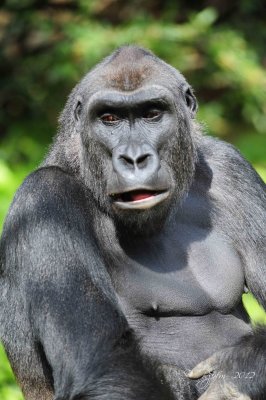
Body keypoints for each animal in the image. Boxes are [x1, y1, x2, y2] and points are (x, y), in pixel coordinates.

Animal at [0, 45, 266, 398]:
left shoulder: (231, 168)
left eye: (151, 113)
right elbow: (108, 361)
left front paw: (240, 365)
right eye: (109, 118)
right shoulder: (44, 199)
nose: (135, 159)